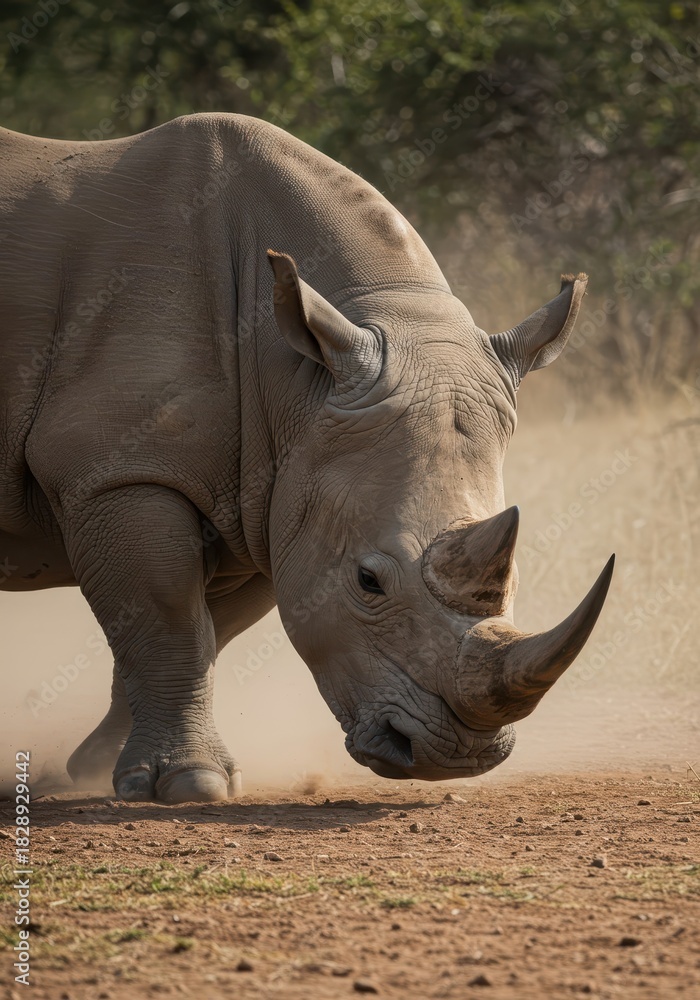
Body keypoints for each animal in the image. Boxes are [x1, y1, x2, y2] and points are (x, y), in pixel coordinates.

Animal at [0, 113, 613, 803]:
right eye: (368, 581)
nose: (457, 755)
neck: (294, 378)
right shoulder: (116, 472)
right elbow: (167, 618)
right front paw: (187, 785)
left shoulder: (270, 491)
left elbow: (203, 628)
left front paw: (95, 768)